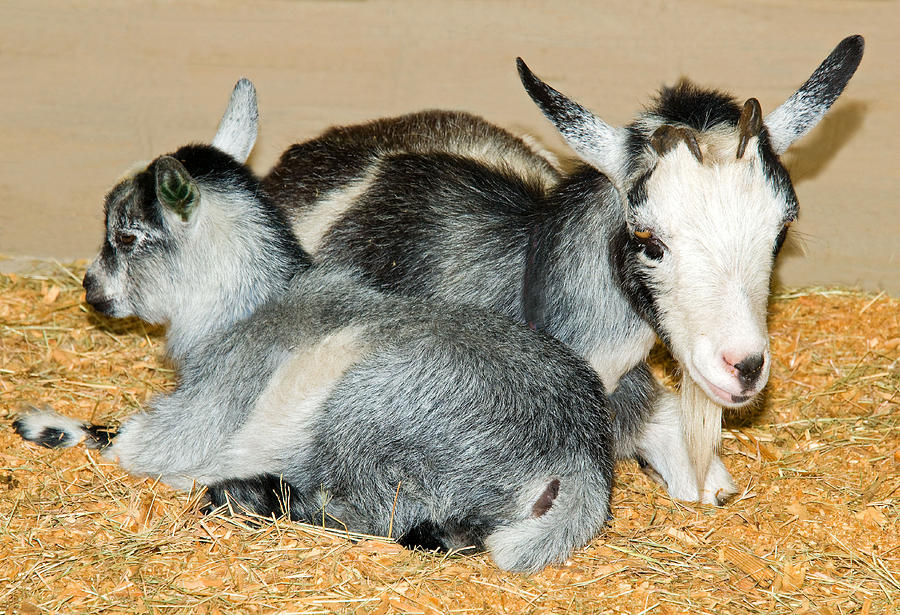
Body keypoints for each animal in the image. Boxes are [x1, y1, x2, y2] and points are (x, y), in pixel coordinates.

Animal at [14, 79, 624, 576]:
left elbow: (125, 443)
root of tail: (578, 459)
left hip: (365, 414)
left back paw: (245, 493)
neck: (243, 311)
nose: (90, 289)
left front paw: (40, 423)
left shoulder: (205, 411)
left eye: (127, 236)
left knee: (376, 514)